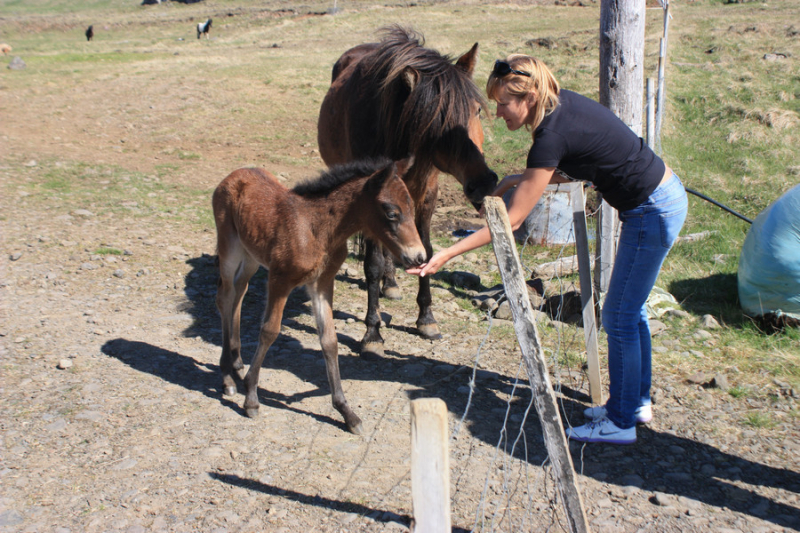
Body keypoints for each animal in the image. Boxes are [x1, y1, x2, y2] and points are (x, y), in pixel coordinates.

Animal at [212, 158, 424, 432]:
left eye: (412, 208)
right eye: (391, 212)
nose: (419, 257)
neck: (317, 228)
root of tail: (234, 174)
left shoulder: (322, 283)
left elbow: (329, 341)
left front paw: (346, 411)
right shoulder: (280, 280)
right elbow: (269, 331)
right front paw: (251, 399)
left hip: (251, 255)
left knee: (240, 291)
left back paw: (237, 362)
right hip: (230, 247)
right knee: (225, 297)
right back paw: (227, 377)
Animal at [318, 25, 494, 358]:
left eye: (477, 110)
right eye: (439, 121)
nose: (485, 181)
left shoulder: (426, 197)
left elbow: (426, 253)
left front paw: (427, 319)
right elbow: (373, 264)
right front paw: (372, 332)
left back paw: (392, 284)